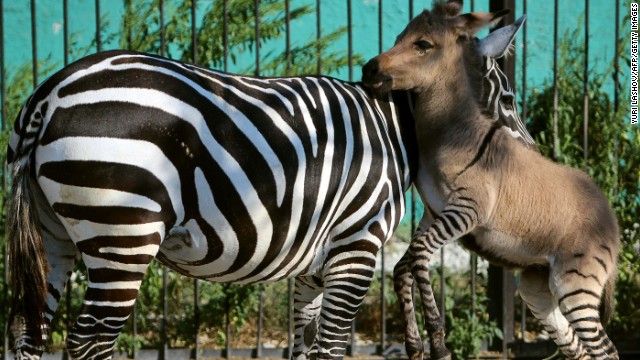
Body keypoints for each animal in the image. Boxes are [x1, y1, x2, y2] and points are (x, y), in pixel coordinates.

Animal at [8, 26, 524, 358]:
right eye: (511, 99)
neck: (396, 129)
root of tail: (50, 93)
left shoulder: (315, 266)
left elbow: (305, 347)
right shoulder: (356, 248)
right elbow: (332, 348)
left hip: (53, 236)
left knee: (28, 333)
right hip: (123, 235)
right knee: (89, 342)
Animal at [364, 2, 620, 360]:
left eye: (423, 45)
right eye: (398, 38)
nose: (368, 70)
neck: (450, 131)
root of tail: (612, 220)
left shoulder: (467, 210)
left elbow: (418, 254)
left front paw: (438, 340)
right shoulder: (433, 211)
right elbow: (404, 266)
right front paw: (415, 344)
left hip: (577, 286)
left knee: (606, 351)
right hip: (539, 289)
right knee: (580, 350)